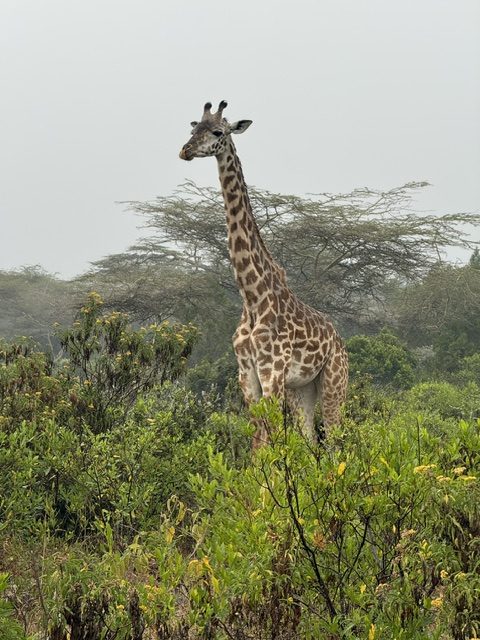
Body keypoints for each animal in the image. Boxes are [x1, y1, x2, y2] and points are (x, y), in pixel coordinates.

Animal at [180, 101, 348, 448]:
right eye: (193, 129)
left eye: (217, 132)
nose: (185, 150)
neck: (253, 296)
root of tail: (340, 340)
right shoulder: (246, 373)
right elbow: (259, 438)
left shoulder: (272, 370)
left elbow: (271, 436)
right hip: (302, 388)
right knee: (310, 439)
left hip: (334, 382)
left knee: (335, 439)